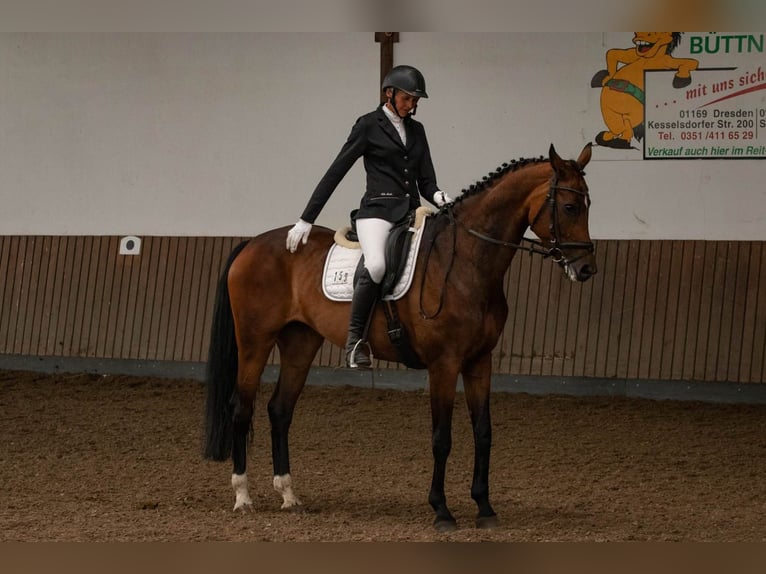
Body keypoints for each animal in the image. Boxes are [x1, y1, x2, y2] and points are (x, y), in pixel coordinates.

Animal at [206, 142, 600, 532]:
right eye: (569, 206)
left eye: (588, 205)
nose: (586, 269)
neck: (466, 262)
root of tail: (254, 243)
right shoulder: (444, 364)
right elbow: (442, 438)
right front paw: (442, 510)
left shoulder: (479, 361)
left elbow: (484, 432)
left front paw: (484, 507)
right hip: (255, 342)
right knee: (241, 408)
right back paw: (243, 497)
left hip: (300, 343)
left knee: (280, 410)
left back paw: (289, 496)